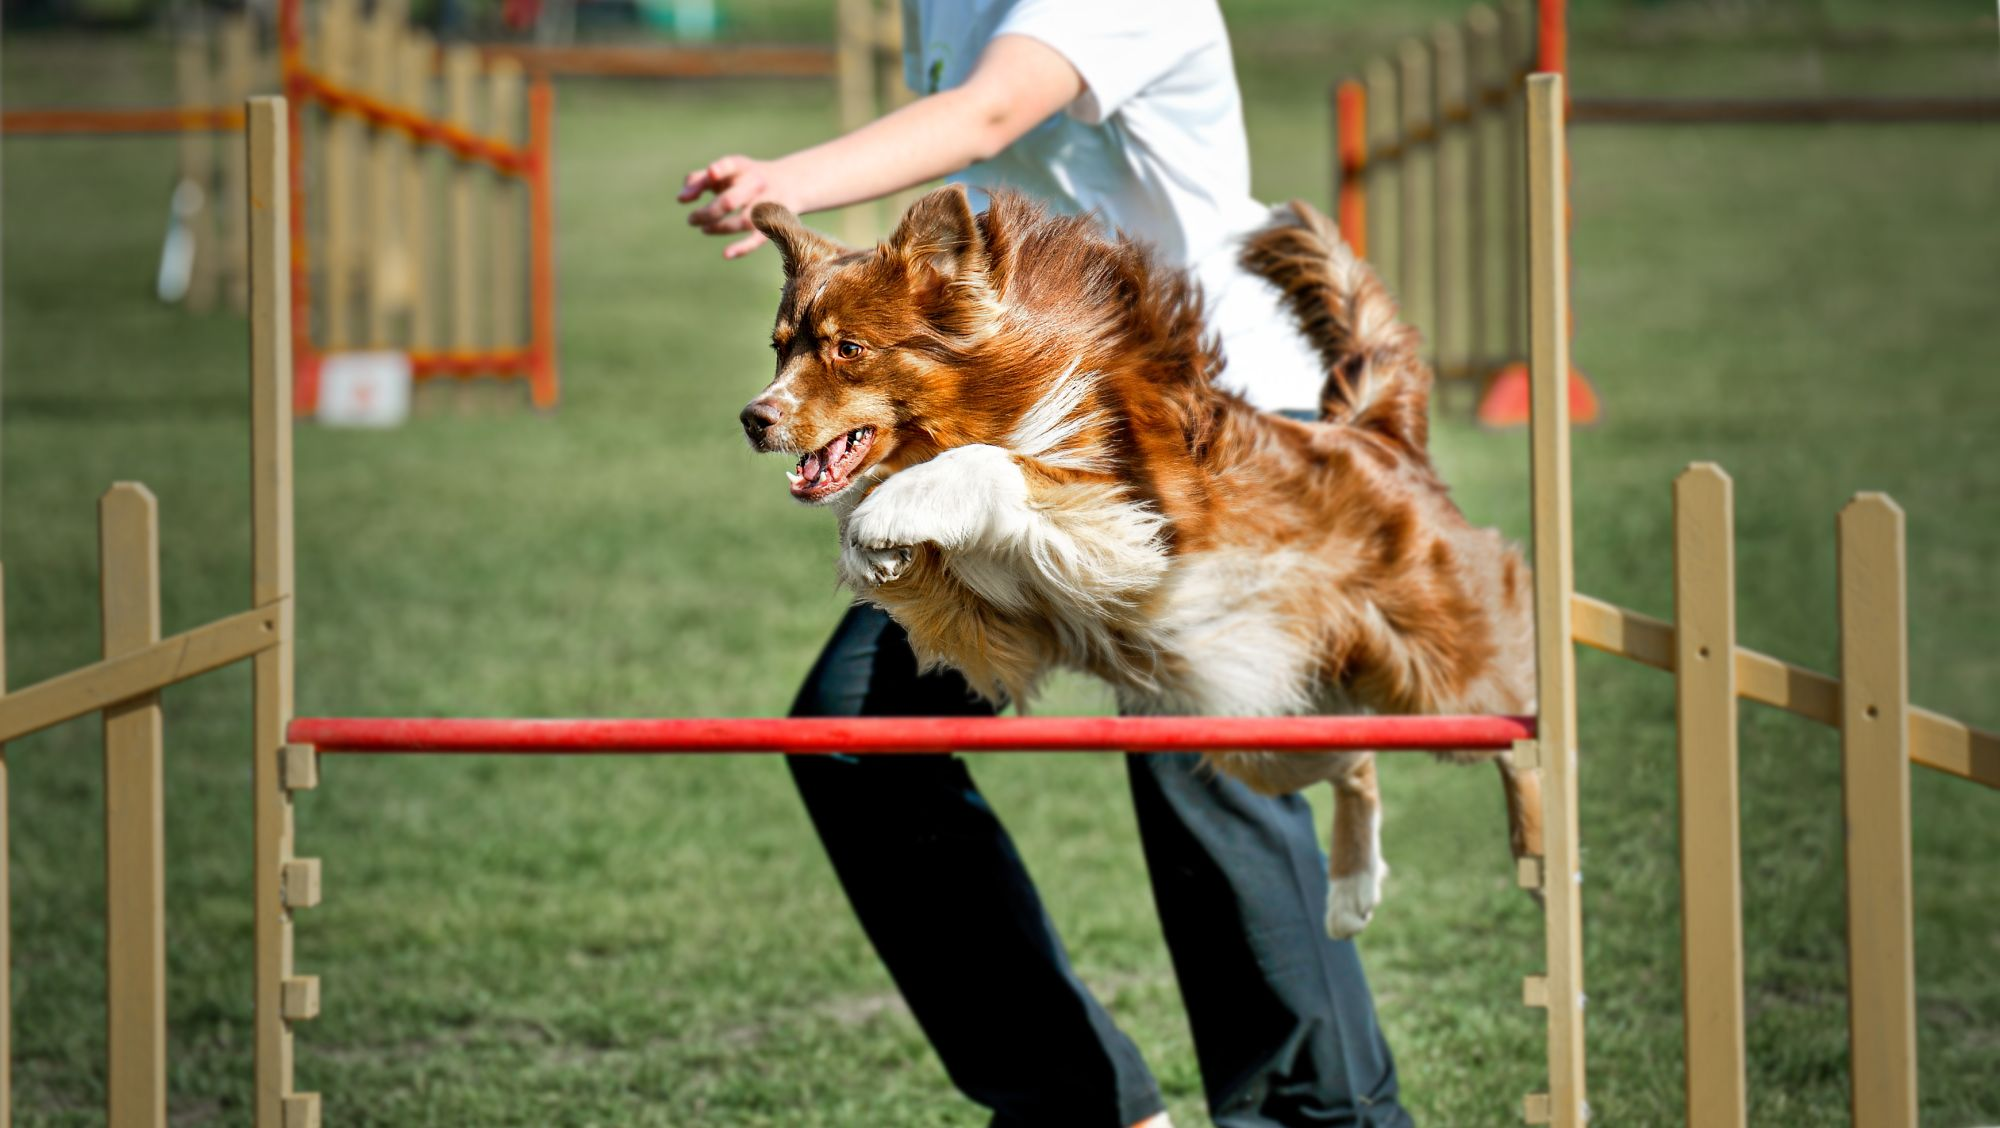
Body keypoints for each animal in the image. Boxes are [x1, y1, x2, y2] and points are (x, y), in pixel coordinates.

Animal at [744, 189, 1536, 940]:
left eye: (849, 348)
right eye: (779, 348)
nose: (755, 418)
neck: (994, 397)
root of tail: (1378, 435)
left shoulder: (1132, 525)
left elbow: (1000, 466)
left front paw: (890, 510)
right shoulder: (1003, 620)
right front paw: (878, 542)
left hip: (1444, 680)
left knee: (1518, 727)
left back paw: (1535, 851)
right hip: (1258, 717)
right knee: (1358, 758)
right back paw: (1351, 893)